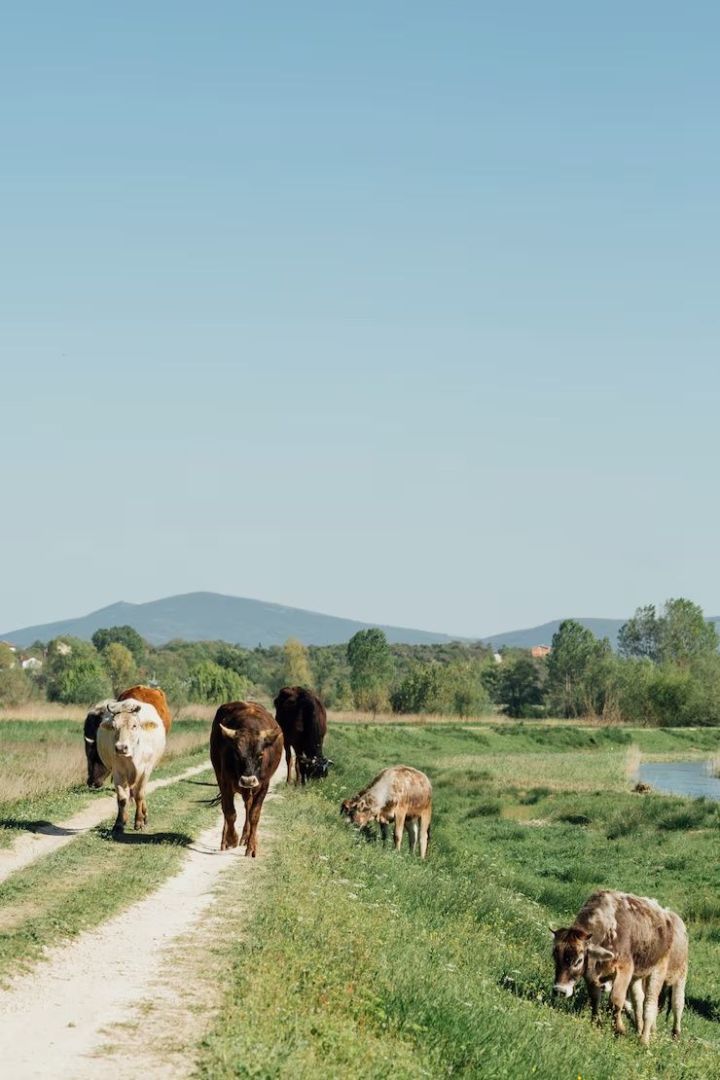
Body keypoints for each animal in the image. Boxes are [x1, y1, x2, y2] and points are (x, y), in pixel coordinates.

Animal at [95, 695, 167, 838]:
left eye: (134, 726)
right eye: (114, 726)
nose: (121, 747)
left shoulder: (145, 770)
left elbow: (139, 795)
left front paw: (139, 822)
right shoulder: (118, 772)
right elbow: (123, 799)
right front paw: (118, 824)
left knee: (140, 793)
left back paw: (144, 816)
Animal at [209, 699, 282, 859]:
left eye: (260, 754)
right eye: (237, 753)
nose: (248, 780)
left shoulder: (263, 785)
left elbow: (254, 815)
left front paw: (252, 846)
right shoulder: (225, 783)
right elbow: (230, 812)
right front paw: (231, 839)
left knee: (248, 807)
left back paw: (247, 837)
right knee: (227, 807)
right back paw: (227, 840)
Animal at [552, 889, 686, 1041]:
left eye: (578, 960)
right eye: (554, 956)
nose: (559, 990)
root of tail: (667, 916)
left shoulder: (625, 968)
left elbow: (616, 1000)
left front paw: (619, 1029)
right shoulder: (592, 975)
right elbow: (595, 998)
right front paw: (596, 1023)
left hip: (663, 972)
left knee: (658, 1004)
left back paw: (647, 1039)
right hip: (638, 975)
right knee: (639, 1000)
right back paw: (639, 1029)